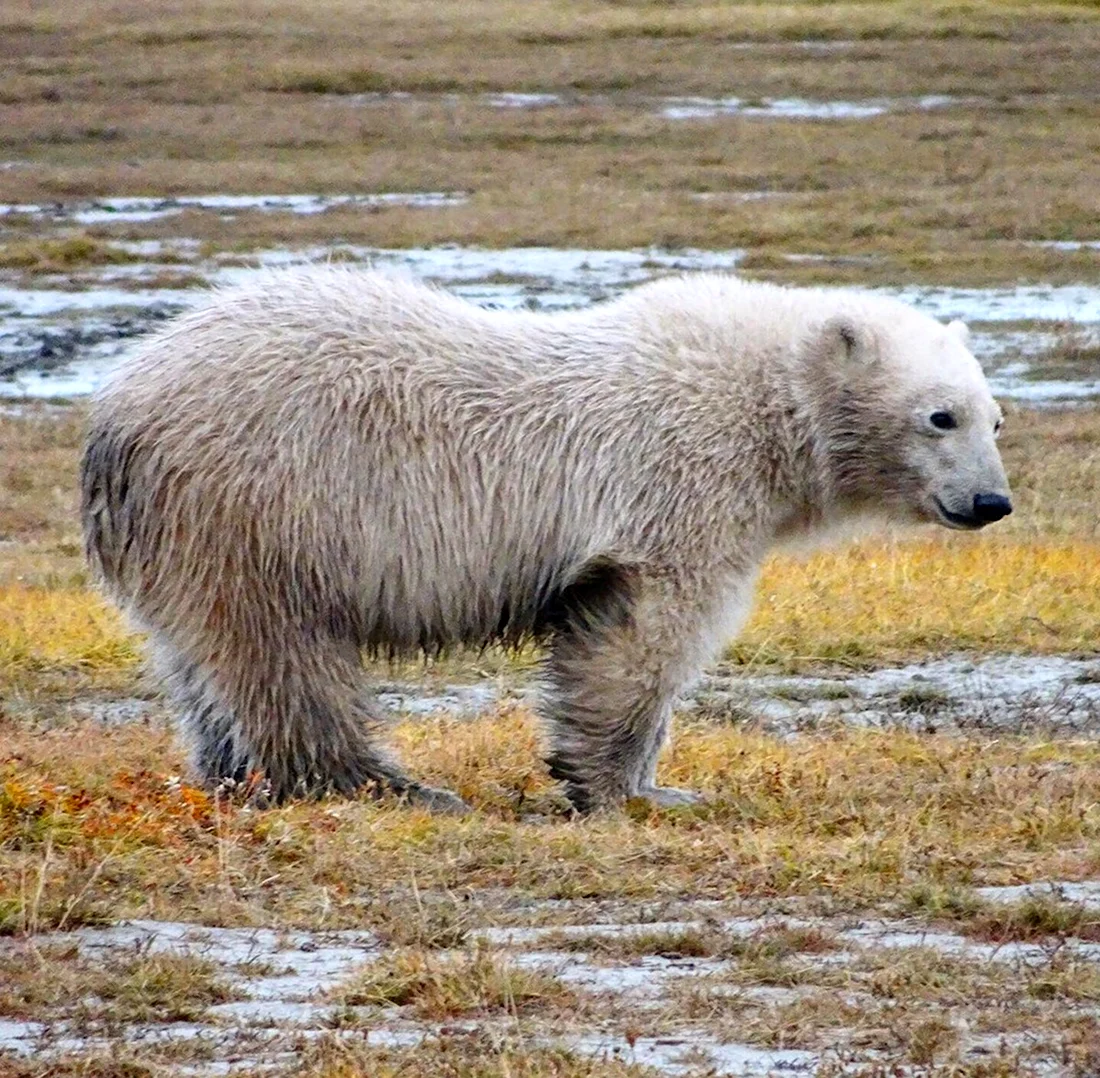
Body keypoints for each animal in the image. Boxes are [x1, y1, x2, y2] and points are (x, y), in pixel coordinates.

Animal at [81, 265, 1007, 814]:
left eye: (995, 416)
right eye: (940, 416)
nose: (991, 501)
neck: (764, 401)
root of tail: (121, 406)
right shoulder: (678, 484)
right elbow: (645, 635)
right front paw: (626, 788)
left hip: (192, 531)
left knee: (205, 657)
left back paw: (234, 773)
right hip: (267, 500)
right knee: (282, 652)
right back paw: (389, 785)